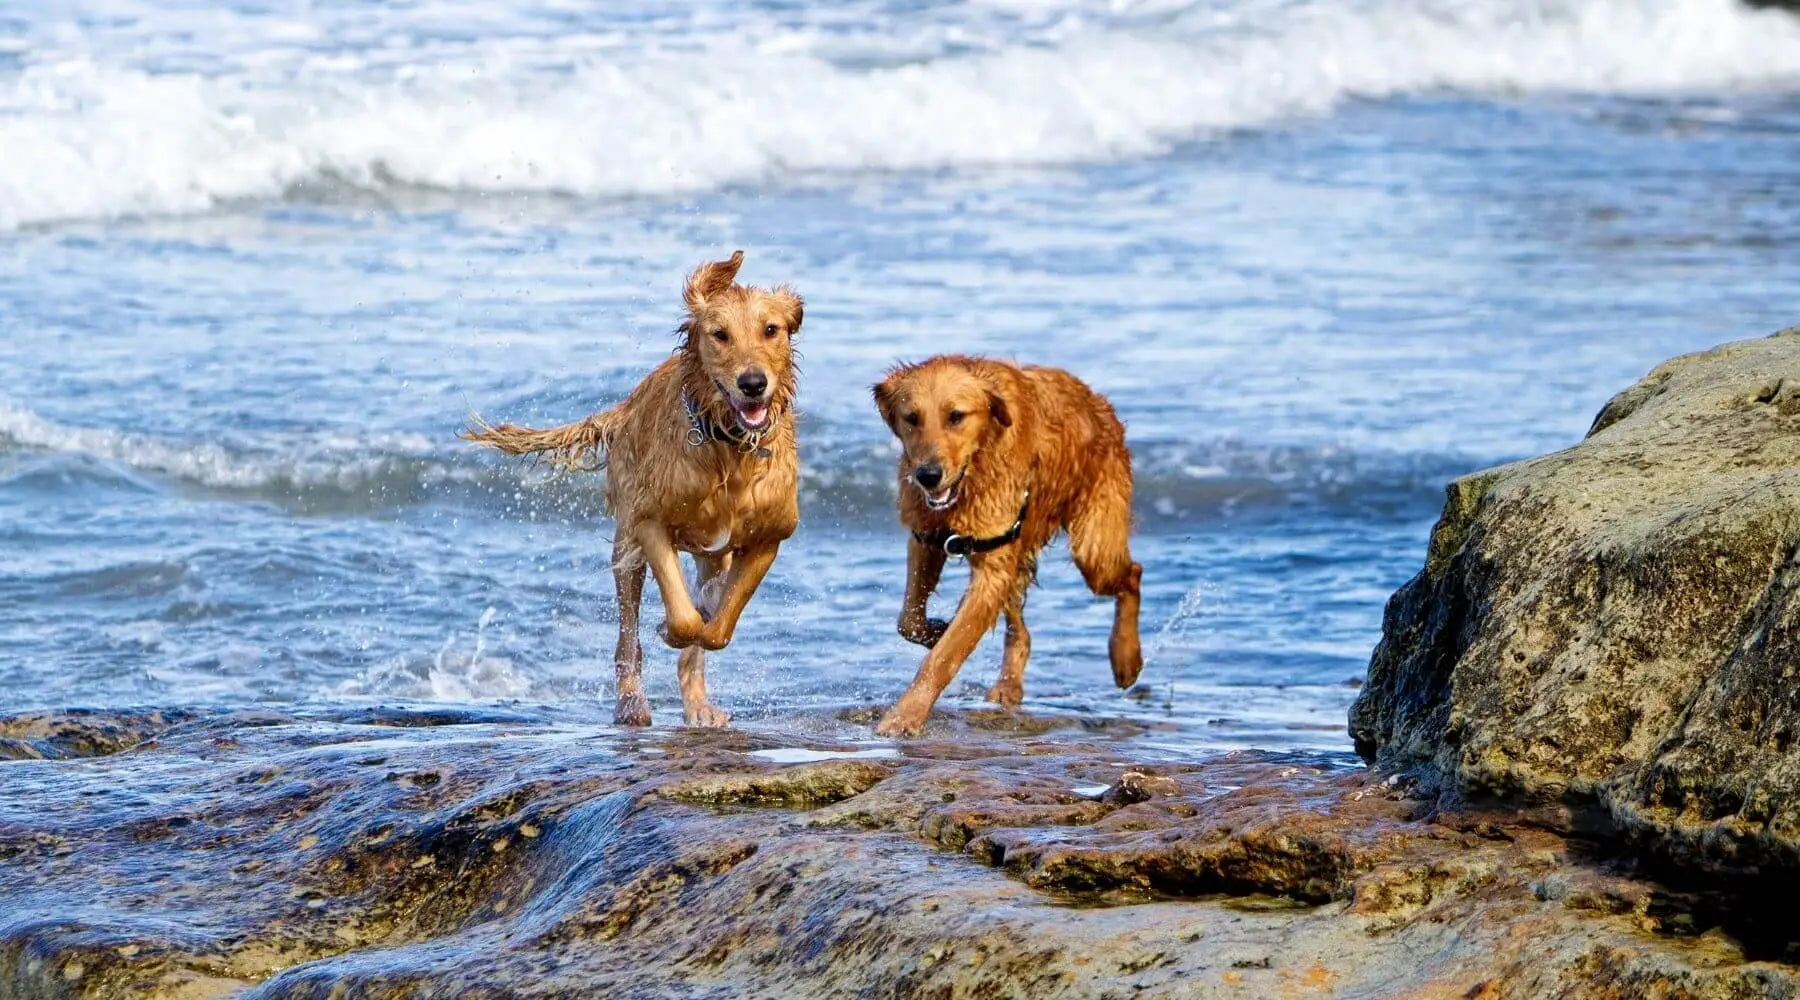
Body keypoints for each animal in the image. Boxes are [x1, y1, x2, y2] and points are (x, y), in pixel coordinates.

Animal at [464, 250, 802, 726]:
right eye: (719, 335)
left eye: (771, 329)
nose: (753, 383)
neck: (727, 447)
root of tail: (625, 407)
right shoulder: (650, 522)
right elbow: (684, 621)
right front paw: (671, 626)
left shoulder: (769, 538)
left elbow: (718, 627)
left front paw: (711, 610)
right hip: (626, 544)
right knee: (628, 637)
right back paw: (631, 703)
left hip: (709, 553)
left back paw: (698, 704)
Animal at [867, 354, 1137, 733]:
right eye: (912, 418)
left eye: (956, 416)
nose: (928, 475)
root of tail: (1097, 401)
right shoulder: (927, 537)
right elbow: (909, 620)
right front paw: (935, 631)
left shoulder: (991, 562)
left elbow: (945, 655)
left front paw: (904, 716)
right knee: (1021, 631)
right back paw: (1009, 685)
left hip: (1094, 548)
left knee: (1132, 574)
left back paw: (1126, 659)